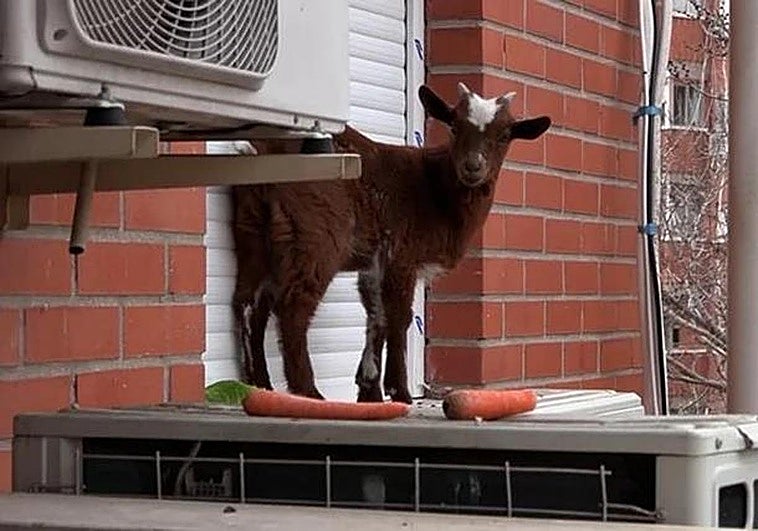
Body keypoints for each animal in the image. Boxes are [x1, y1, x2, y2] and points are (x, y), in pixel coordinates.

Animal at [231, 82, 551, 404]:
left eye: (505, 135)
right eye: (454, 126)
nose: (473, 167)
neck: (436, 189)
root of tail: (264, 151)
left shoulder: (376, 261)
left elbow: (377, 315)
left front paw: (369, 388)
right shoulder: (401, 253)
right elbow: (399, 316)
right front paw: (399, 391)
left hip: (254, 230)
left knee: (247, 302)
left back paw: (259, 384)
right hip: (317, 234)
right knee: (293, 305)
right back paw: (308, 391)